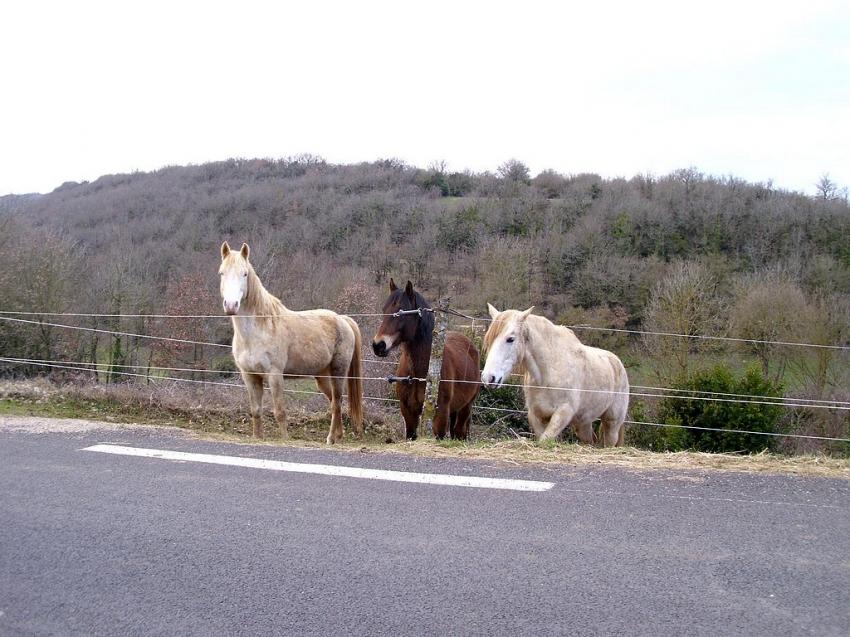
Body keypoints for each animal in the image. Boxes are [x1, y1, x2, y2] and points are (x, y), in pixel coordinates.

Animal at [219, 241, 362, 444]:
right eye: (222, 273)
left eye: (244, 274)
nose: (231, 305)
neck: (258, 330)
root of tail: (343, 319)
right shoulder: (249, 375)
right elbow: (256, 411)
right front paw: (257, 437)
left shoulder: (274, 374)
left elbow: (280, 412)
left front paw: (285, 439)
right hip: (322, 376)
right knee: (336, 403)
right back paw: (338, 437)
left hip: (338, 372)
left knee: (336, 403)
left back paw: (330, 438)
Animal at [370, 278, 476, 438]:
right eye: (384, 309)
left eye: (401, 311)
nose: (378, 345)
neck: (418, 374)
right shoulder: (408, 412)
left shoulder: (440, 413)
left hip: (466, 407)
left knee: (459, 432)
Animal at [480, 304, 628, 444]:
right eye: (489, 340)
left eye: (510, 339)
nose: (488, 377)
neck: (547, 374)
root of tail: (618, 363)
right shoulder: (536, 416)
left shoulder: (563, 413)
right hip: (583, 423)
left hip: (612, 424)